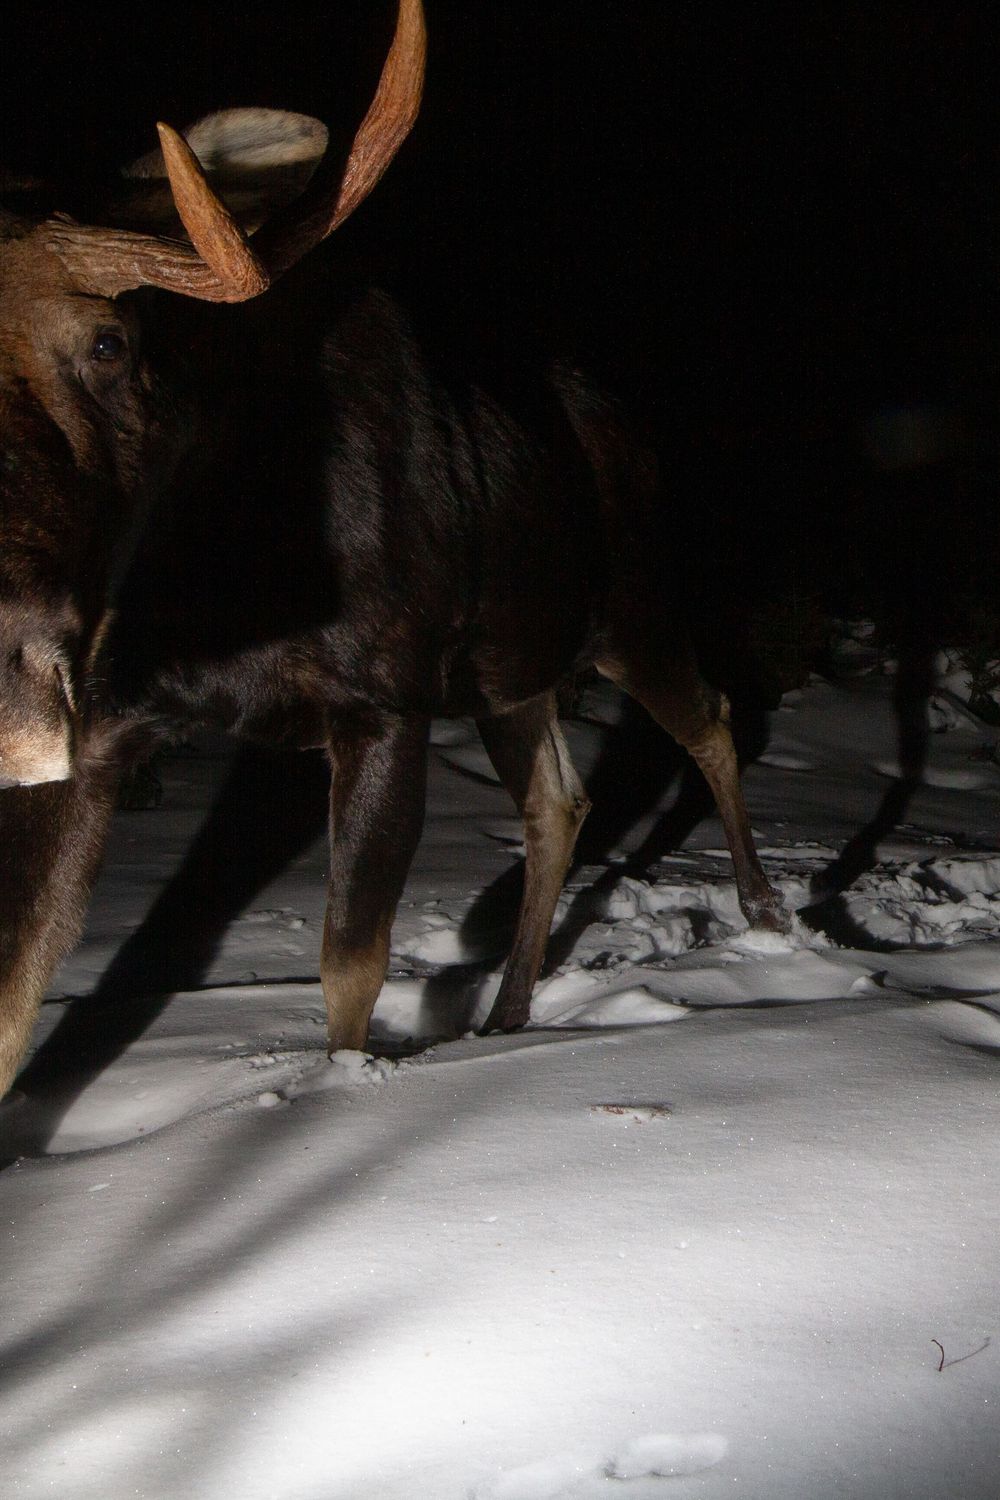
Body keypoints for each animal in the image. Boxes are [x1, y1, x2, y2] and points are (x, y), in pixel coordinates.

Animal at [0, 0, 787, 1102]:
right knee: (561, 802)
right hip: (514, 673)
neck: (212, 581)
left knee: (709, 720)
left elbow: (351, 967)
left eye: (111, 343)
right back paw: (507, 1010)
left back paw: (763, 910)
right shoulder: (103, 733)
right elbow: (15, 996)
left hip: (632, 612)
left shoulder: (384, 701)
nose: (20, 664)